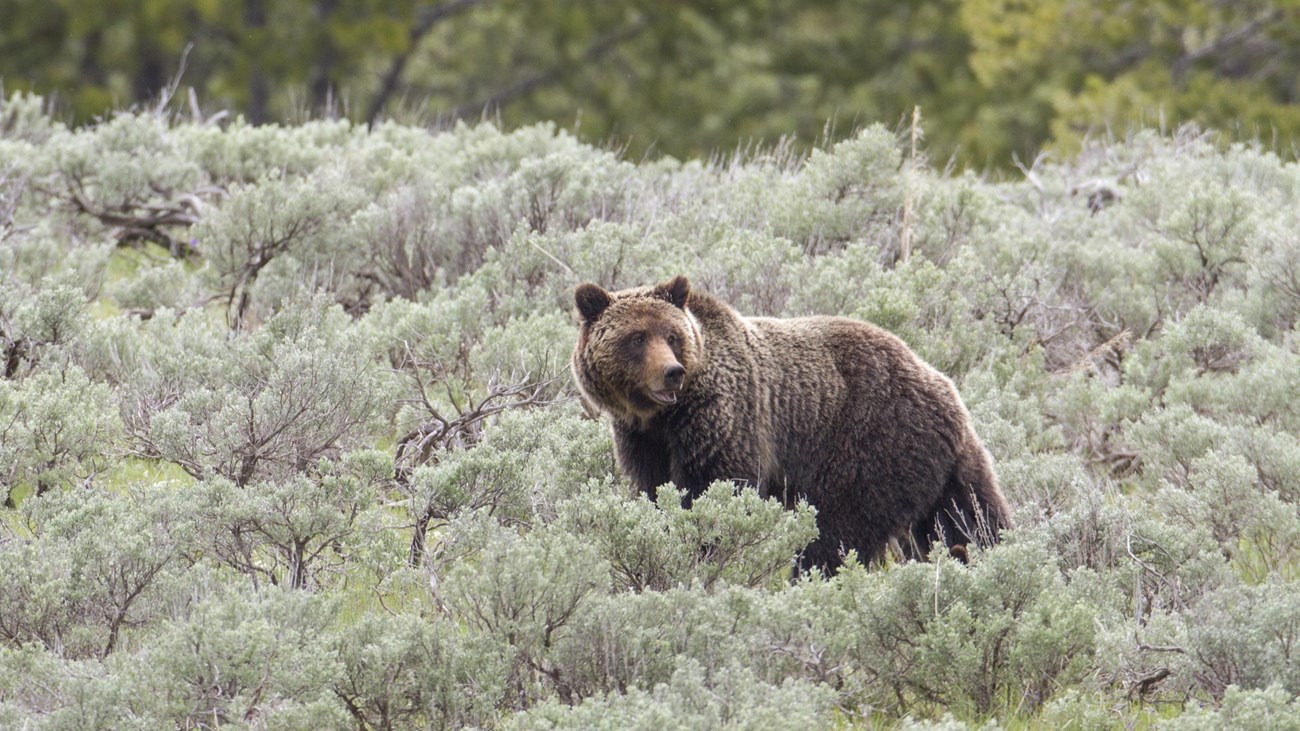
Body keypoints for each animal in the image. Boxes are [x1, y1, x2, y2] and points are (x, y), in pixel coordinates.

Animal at [572, 273, 1013, 569]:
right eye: (637, 337)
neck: (663, 417)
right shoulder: (642, 439)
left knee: (837, 529)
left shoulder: (724, 418)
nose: (672, 372)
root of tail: (945, 387)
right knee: (971, 517)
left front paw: (707, 548)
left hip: (871, 443)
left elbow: (715, 488)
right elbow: (655, 490)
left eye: (672, 335)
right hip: (943, 466)